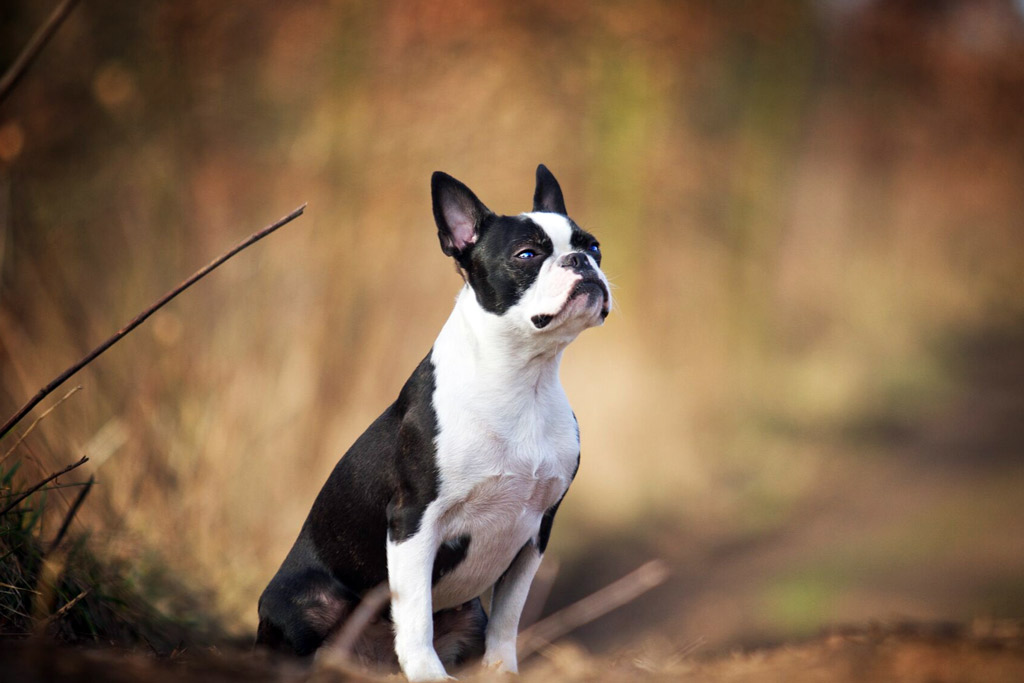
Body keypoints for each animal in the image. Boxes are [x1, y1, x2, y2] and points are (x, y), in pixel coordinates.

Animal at [258, 162, 606, 679]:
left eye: (593, 246)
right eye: (527, 255)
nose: (581, 261)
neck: (523, 380)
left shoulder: (536, 531)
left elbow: (508, 616)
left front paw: (502, 672)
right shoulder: (414, 521)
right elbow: (416, 611)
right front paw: (427, 673)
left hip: (467, 612)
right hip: (308, 600)